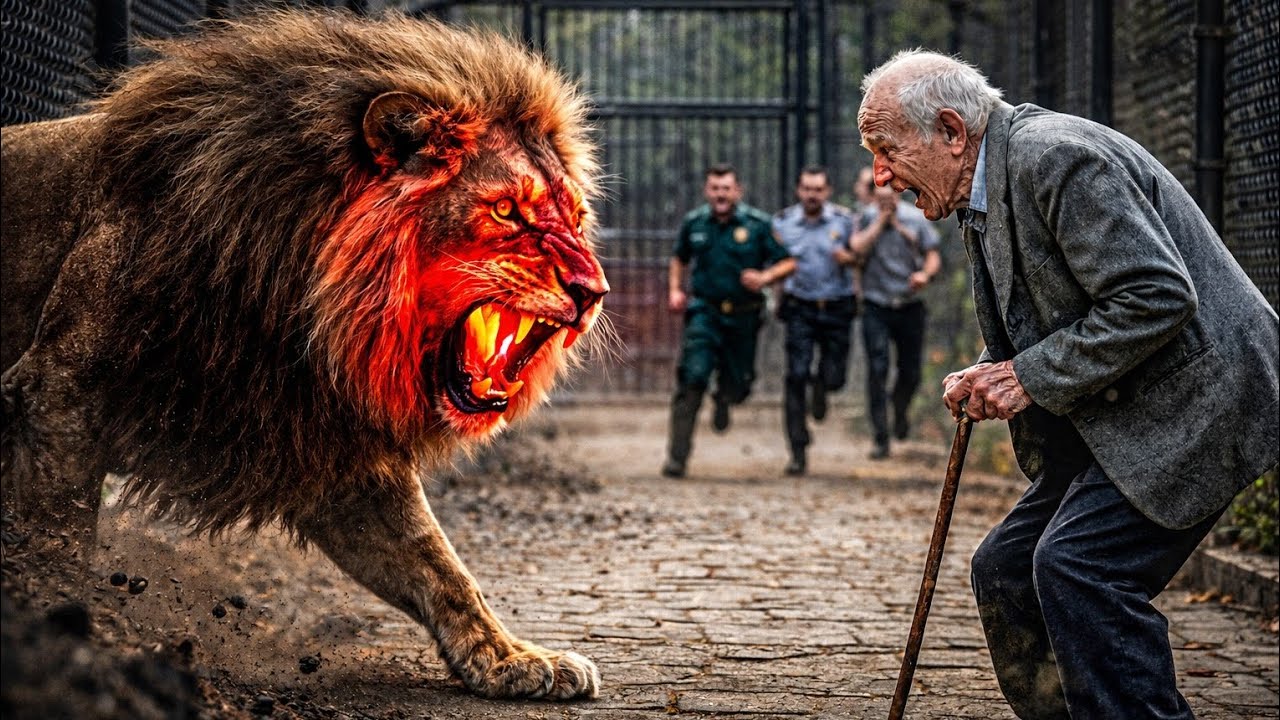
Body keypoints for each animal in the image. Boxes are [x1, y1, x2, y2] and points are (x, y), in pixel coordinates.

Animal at [0, 9, 608, 701]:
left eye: (576, 217)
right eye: (506, 208)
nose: (594, 291)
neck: (290, 298)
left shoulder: (334, 447)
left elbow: (439, 565)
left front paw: (510, 658)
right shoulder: (57, 395)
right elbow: (58, 541)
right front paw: (71, 639)